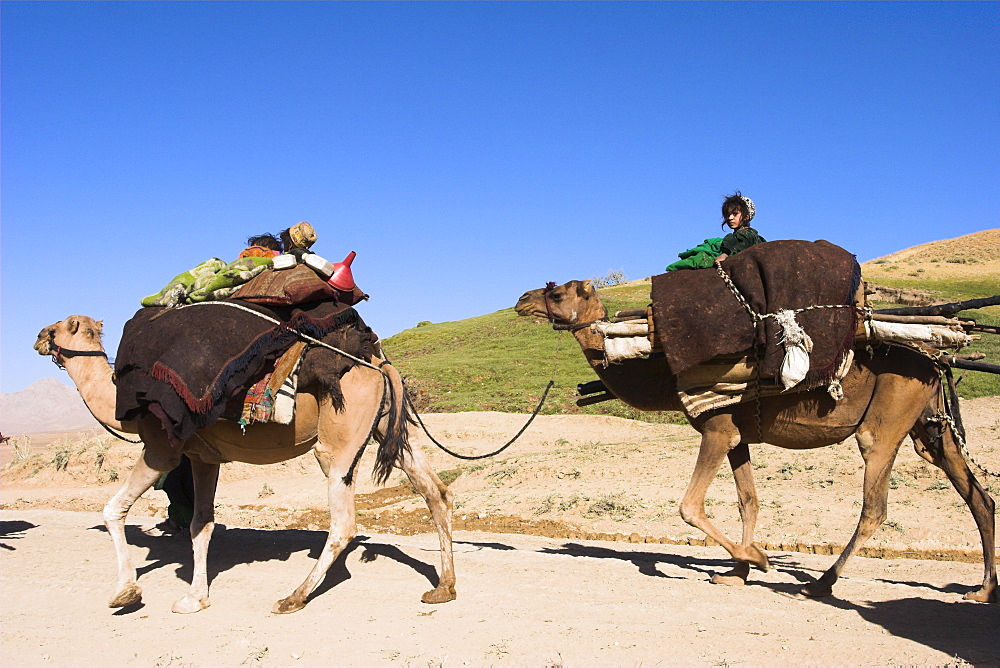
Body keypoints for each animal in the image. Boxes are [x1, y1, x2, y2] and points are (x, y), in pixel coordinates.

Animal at [34, 316, 458, 612]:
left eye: (54, 327)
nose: (37, 338)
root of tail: (378, 363)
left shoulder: (162, 450)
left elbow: (113, 509)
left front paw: (126, 592)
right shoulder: (202, 457)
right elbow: (201, 524)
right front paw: (194, 599)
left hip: (339, 434)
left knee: (343, 523)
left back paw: (293, 598)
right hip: (387, 425)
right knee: (435, 492)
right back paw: (444, 588)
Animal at [512, 280, 996, 604]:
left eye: (558, 293)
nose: (520, 300)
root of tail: (937, 360)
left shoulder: (716, 428)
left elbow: (689, 506)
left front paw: (758, 560)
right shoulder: (738, 434)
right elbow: (750, 500)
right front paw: (738, 570)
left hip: (887, 417)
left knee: (875, 504)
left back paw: (821, 583)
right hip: (928, 425)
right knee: (978, 496)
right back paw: (982, 589)